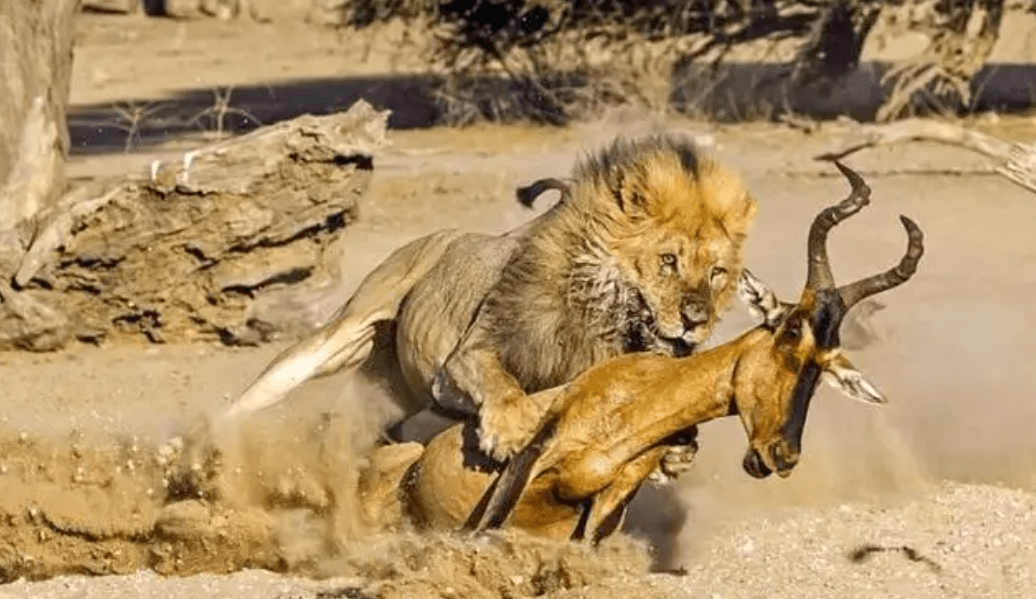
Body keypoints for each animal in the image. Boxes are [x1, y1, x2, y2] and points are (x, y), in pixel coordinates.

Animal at [218, 132, 758, 472]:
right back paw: (210, 438)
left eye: (717, 273)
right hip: (339, 335)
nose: (696, 319)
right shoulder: (462, 361)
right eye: (668, 260)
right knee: (263, 391)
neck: (598, 320)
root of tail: (439, 236)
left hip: (391, 392)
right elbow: (501, 383)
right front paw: (509, 431)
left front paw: (679, 453)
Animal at [362, 160, 924, 543]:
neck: (635, 401)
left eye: (826, 365)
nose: (780, 455)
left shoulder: (605, 511)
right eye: (789, 331)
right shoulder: (530, 460)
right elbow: (483, 534)